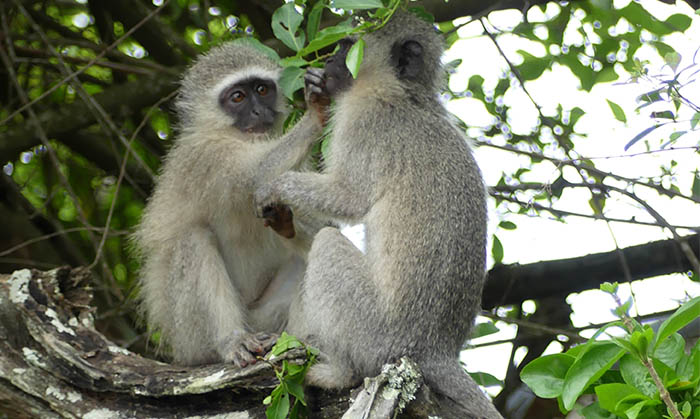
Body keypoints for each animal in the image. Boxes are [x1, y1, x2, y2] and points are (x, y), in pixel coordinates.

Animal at [133, 40, 326, 368]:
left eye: (262, 89)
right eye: (237, 97)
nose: (260, 111)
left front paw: (285, 223)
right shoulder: (206, 157)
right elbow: (257, 173)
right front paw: (317, 112)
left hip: (265, 319)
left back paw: (301, 341)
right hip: (190, 337)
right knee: (193, 240)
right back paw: (231, 341)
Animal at [254, 11, 500, 418]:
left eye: (346, 47)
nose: (328, 62)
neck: (404, 91)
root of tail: (436, 351)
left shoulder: (364, 118)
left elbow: (348, 197)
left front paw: (274, 187)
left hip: (375, 335)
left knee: (328, 246)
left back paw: (336, 372)